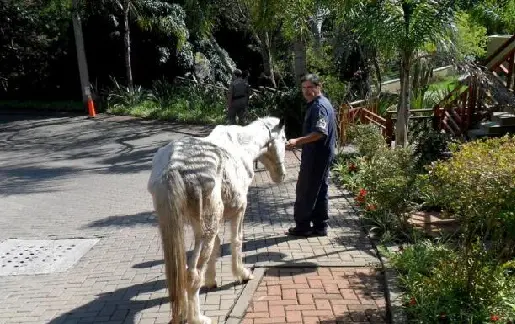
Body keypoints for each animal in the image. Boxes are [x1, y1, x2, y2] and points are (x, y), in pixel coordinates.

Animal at [147, 116, 288, 324]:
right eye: (284, 139)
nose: (281, 175)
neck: (241, 145)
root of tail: (173, 167)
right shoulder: (239, 211)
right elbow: (236, 241)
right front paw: (242, 274)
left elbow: (217, 246)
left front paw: (212, 280)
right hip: (208, 227)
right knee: (193, 273)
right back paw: (197, 318)